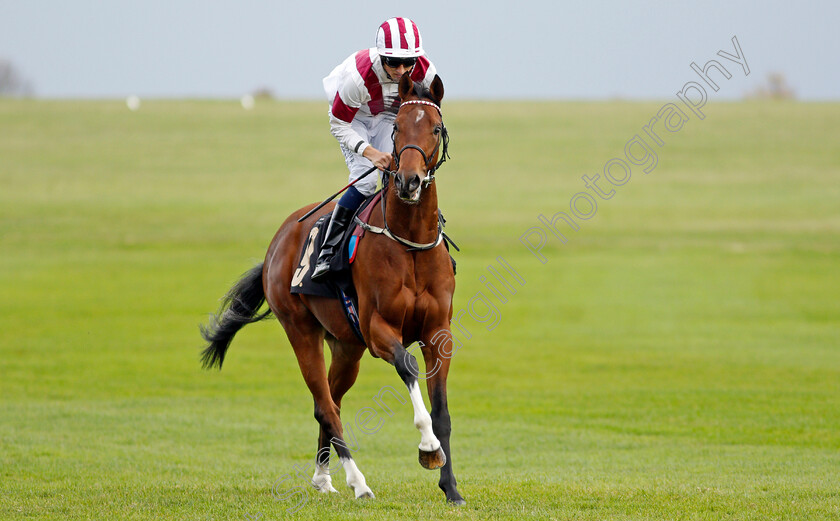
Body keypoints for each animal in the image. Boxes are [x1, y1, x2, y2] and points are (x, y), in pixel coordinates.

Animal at [202, 73, 466, 504]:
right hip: (302, 331)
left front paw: (451, 487)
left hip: (346, 346)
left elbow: (441, 410)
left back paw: (323, 477)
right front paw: (427, 448)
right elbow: (408, 368)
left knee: (333, 400)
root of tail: (277, 242)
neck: (409, 244)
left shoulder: (438, 332)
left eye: (435, 128)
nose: (408, 181)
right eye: (397, 129)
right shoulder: (377, 330)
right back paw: (358, 483)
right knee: (324, 405)